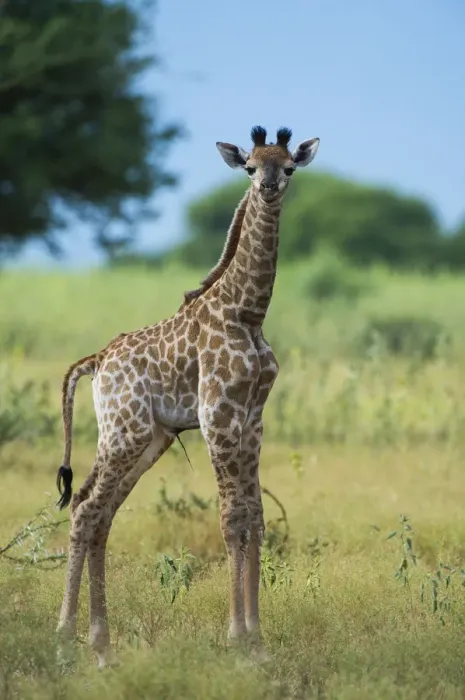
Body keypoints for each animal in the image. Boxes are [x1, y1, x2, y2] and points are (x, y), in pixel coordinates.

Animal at [55, 125, 319, 667]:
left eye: (288, 166)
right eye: (249, 167)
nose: (268, 188)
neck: (248, 312)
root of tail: (96, 362)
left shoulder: (253, 419)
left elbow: (256, 517)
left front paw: (258, 642)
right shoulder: (218, 415)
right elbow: (232, 518)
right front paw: (239, 640)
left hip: (149, 438)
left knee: (99, 511)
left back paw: (102, 648)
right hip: (126, 431)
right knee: (87, 508)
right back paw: (67, 640)